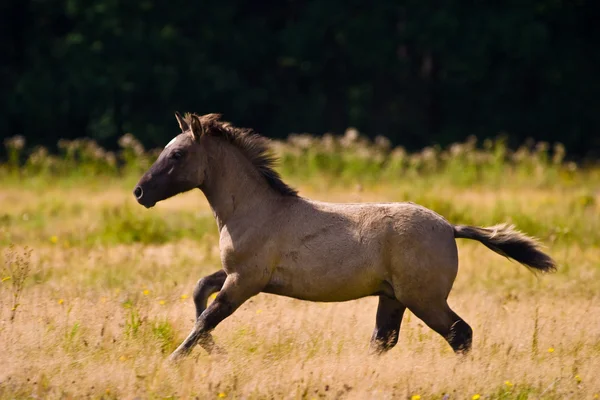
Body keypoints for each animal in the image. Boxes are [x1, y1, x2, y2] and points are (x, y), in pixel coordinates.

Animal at [134, 111, 556, 360]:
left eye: (176, 155)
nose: (140, 193)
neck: (254, 209)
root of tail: (450, 227)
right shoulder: (238, 274)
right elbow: (200, 292)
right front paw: (212, 351)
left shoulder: (246, 280)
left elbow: (209, 315)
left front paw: (176, 359)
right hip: (393, 297)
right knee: (384, 341)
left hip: (424, 298)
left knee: (459, 333)